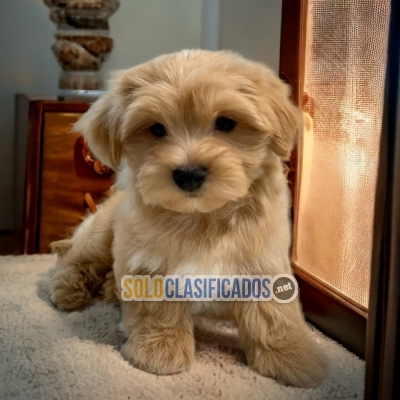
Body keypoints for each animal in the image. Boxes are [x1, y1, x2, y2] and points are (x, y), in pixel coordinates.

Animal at [49, 50, 328, 388]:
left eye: (226, 123)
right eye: (157, 129)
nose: (189, 173)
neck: (202, 216)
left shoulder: (262, 259)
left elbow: (273, 313)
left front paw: (291, 357)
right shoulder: (149, 259)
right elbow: (156, 307)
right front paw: (160, 350)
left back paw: (109, 289)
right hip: (102, 231)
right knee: (76, 259)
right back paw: (69, 289)